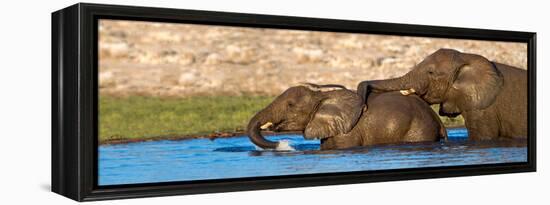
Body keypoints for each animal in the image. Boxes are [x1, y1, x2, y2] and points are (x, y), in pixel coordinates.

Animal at [248, 82, 446, 150]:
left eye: (290, 105)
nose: (283, 145)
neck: (322, 96)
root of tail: (439, 121)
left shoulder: (348, 133)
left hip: (419, 130)